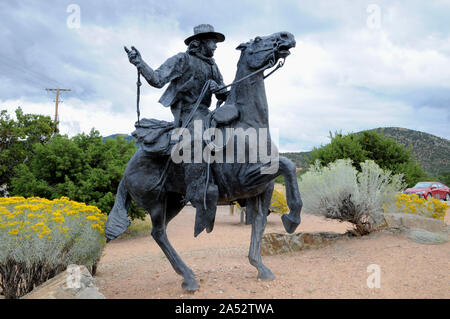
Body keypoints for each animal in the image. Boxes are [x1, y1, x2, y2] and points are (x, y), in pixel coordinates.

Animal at [105, 31, 302, 292]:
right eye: (258, 39)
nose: (286, 36)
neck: (249, 124)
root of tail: (128, 169)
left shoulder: (263, 189)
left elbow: (259, 224)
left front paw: (260, 267)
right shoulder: (244, 180)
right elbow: (288, 166)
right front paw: (291, 220)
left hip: (173, 201)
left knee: (160, 232)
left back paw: (186, 275)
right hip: (155, 203)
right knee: (159, 233)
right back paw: (189, 278)